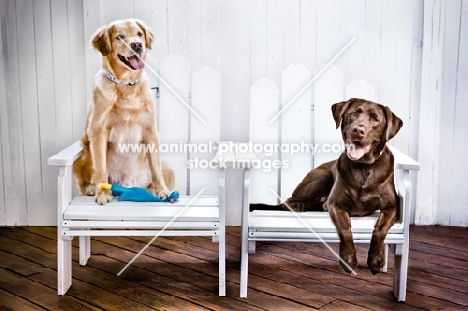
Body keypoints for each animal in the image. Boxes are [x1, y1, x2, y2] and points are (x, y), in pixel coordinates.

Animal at [72, 18, 175, 205]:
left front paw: (162, 191)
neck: (126, 85)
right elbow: (101, 168)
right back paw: (91, 189)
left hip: (167, 166)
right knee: (84, 179)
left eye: (139, 34)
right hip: (84, 153)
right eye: (119, 37)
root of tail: (127, 184)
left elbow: (156, 170)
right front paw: (103, 193)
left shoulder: (150, 131)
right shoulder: (97, 131)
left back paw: (151, 190)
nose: (137, 45)